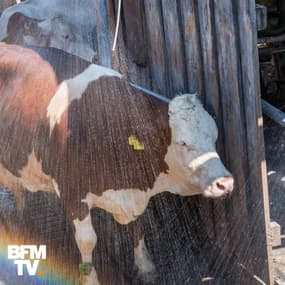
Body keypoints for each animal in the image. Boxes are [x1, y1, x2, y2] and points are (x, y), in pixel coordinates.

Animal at [0, 42, 233, 284]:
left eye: (215, 137)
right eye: (183, 142)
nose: (225, 183)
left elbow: (137, 228)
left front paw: (145, 267)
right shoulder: (72, 193)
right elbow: (87, 241)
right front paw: (91, 279)